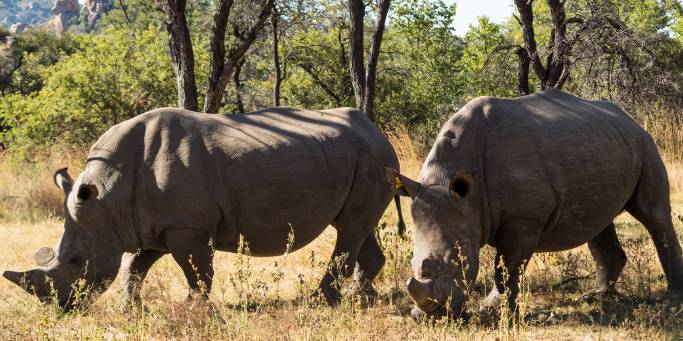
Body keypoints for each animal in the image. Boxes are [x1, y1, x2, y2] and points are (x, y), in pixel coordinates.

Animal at [2, 107, 406, 310]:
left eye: (75, 261)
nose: (60, 307)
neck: (108, 195)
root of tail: (376, 130)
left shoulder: (185, 226)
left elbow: (196, 270)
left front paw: (193, 308)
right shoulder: (152, 224)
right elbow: (135, 265)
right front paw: (130, 308)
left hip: (372, 158)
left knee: (350, 229)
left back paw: (322, 301)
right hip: (363, 159)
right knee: (356, 226)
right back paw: (364, 298)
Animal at [390, 88, 683, 318]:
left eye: (458, 263)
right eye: (413, 261)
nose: (431, 316)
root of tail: (629, 119)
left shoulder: (524, 218)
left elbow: (506, 268)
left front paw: (493, 310)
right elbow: (505, 267)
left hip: (645, 144)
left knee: (653, 214)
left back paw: (672, 299)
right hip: (601, 144)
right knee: (598, 222)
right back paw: (594, 296)